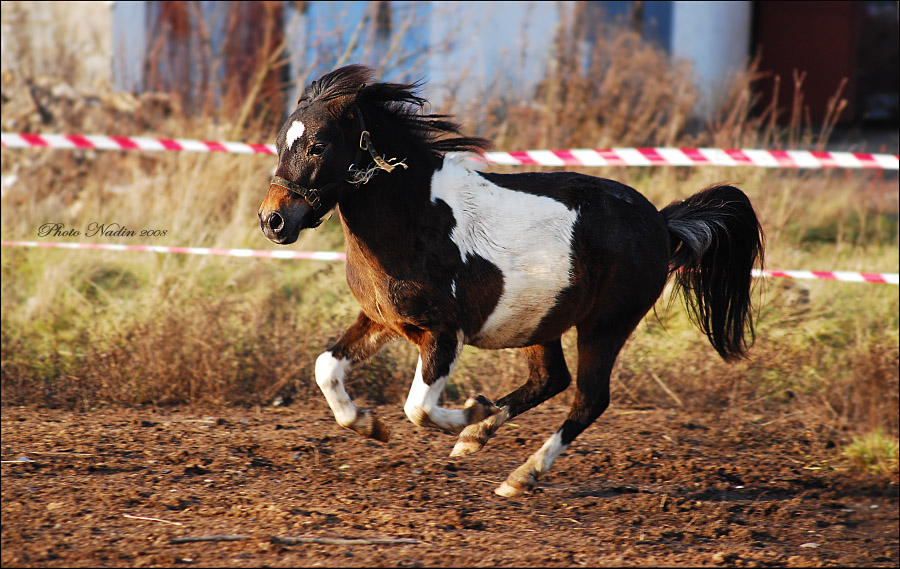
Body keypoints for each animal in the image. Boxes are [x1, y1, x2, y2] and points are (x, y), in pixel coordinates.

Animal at [256, 64, 764, 494]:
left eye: (318, 146)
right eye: (280, 144)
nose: (272, 221)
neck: (417, 219)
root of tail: (660, 222)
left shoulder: (443, 334)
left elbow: (418, 407)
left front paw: (468, 411)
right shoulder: (384, 319)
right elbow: (326, 368)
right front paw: (370, 424)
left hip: (606, 326)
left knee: (588, 399)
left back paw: (519, 474)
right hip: (541, 322)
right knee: (550, 380)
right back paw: (479, 438)